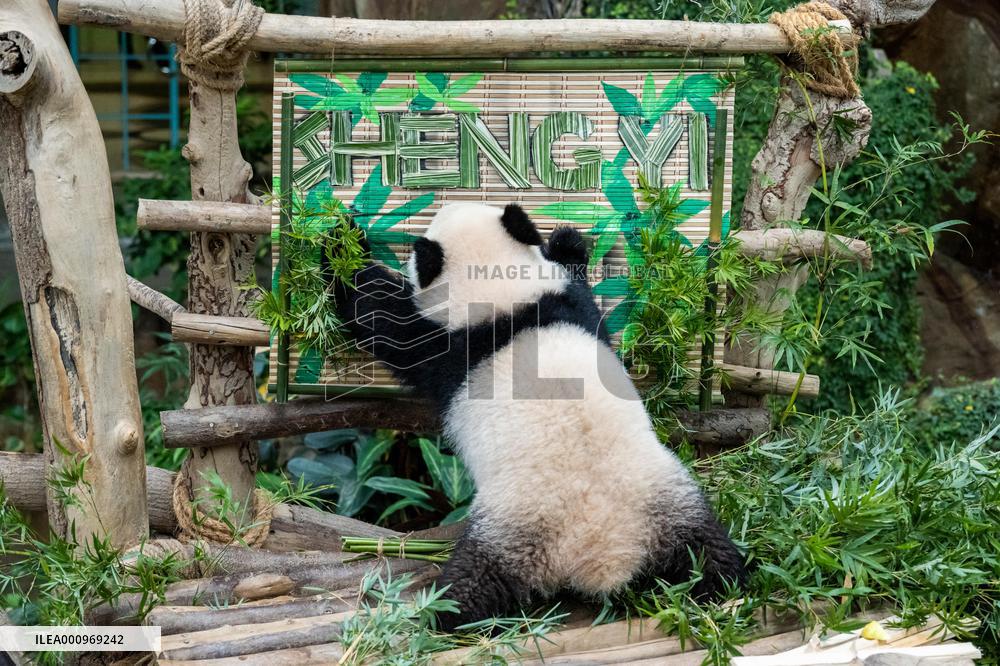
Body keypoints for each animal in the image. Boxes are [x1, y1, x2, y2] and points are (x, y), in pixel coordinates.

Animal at [332, 202, 746, 630]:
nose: (444, 204)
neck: (503, 305)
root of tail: (607, 554)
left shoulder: (445, 343)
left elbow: (377, 316)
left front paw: (341, 242)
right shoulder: (565, 309)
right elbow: (586, 302)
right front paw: (568, 242)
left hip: (512, 531)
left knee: (473, 585)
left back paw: (443, 616)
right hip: (669, 502)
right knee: (709, 551)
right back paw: (723, 583)